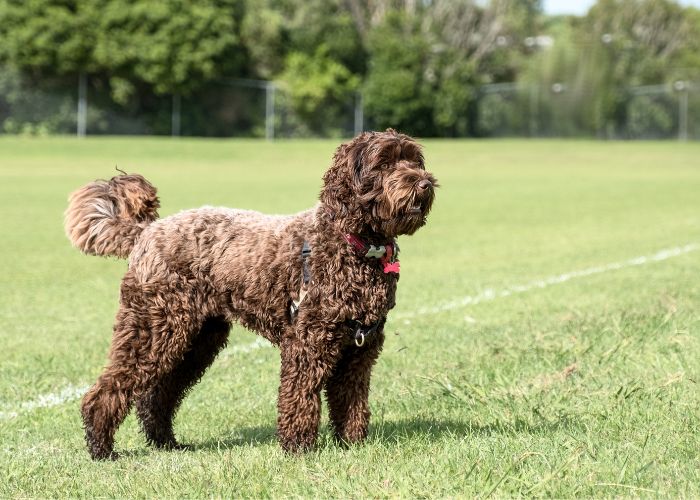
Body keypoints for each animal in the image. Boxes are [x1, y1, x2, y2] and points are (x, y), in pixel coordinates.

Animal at [65, 129, 436, 460]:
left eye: (414, 160)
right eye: (384, 163)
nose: (424, 183)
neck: (354, 245)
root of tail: (146, 231)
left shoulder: (360, 349)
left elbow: (351, 400)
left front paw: (352, 443)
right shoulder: (308, 343)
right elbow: (300, 396)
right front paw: (298, 448)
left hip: (197, 339)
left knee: (157, 395)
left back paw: (166, 443)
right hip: (153, 328)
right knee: (110, 389)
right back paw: (101, 448)